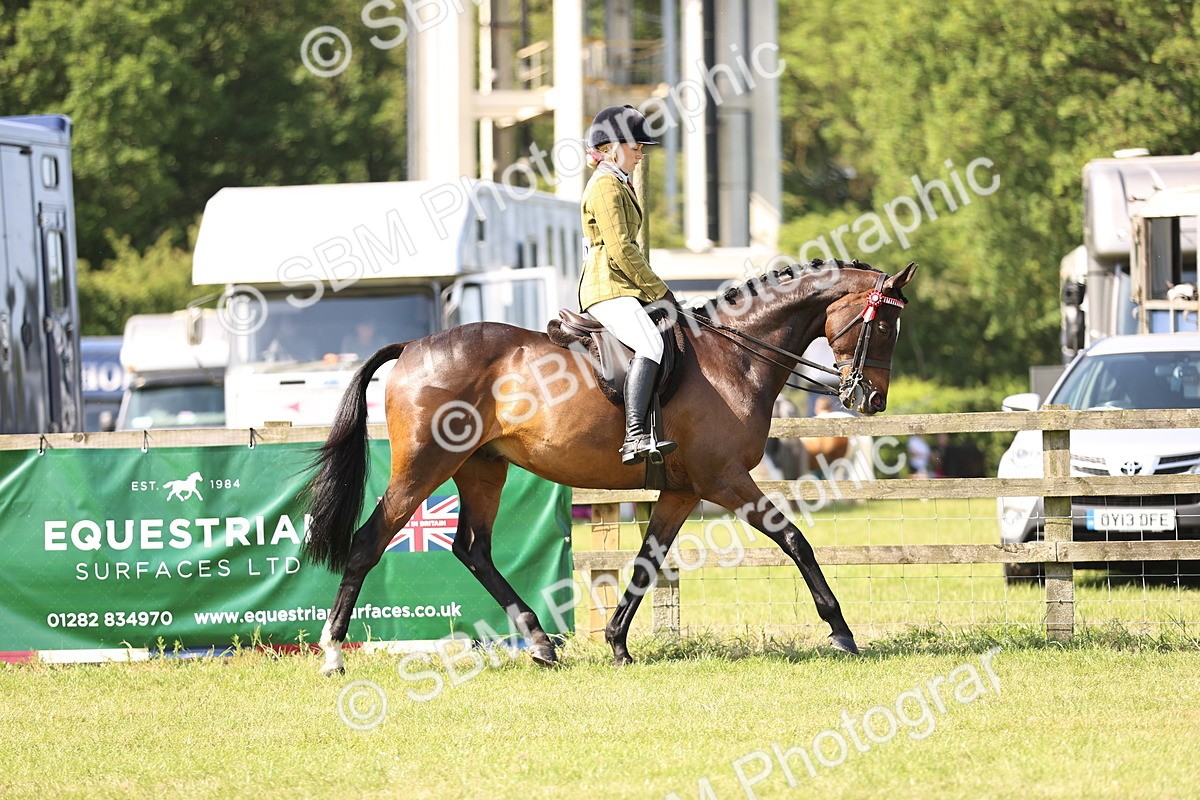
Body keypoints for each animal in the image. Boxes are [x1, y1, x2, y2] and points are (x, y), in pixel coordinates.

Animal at [303, 260, 916, 674]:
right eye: (885, 327)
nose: (872, 400)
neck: (735, 357)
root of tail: (413, 346)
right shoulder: (724, 480)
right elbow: (795, 540)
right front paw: (840, 631)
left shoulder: (683, 491)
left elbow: (647, 560)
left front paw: (618, 642)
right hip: (422, 469)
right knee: (368, 541)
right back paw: (333, 653)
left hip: (481, 469)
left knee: (473, 549)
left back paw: (541, 643)